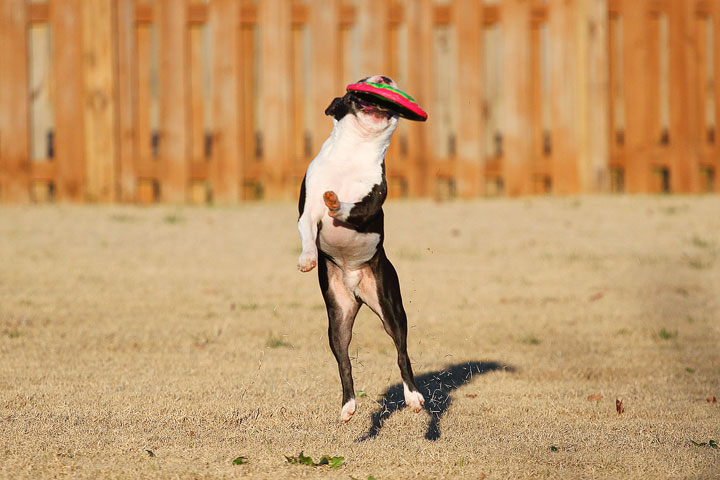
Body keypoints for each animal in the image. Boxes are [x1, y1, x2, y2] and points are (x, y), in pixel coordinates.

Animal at [296, 74, 424, 420]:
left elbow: (351, 208)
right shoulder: (307, 209)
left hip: (390, 306)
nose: (382, 78)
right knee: (343, 361)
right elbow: (307, 230)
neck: (353, 154)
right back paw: (348, 405)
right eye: (362, 84)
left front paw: (336, 204)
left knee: (402, 353)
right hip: (338, 318)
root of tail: (355, 282)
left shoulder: (370, 201)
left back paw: (413, 397)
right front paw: (307, 258)